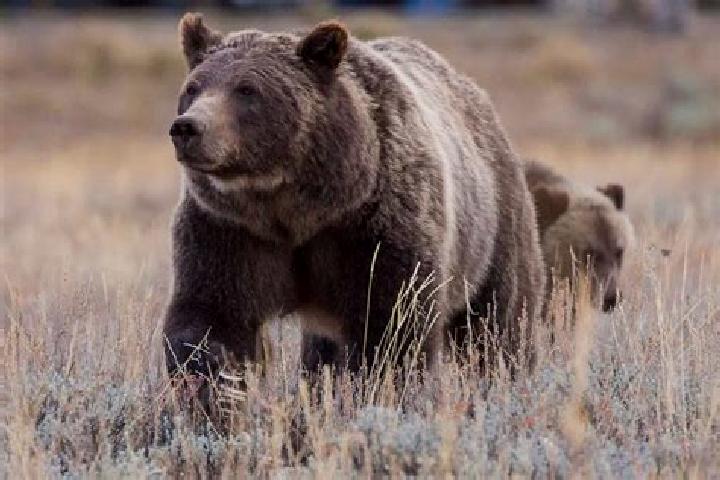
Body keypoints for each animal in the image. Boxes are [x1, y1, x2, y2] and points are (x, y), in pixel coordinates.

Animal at [163, 13, 545, 381]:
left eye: (247, 90)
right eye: (193, 87)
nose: (187, 127)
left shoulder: (375, 224)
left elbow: (391, 323)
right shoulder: (229, 228)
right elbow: (213, 316)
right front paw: (209, 384)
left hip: (493, 228)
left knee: (497, 320)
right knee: (322, 352)